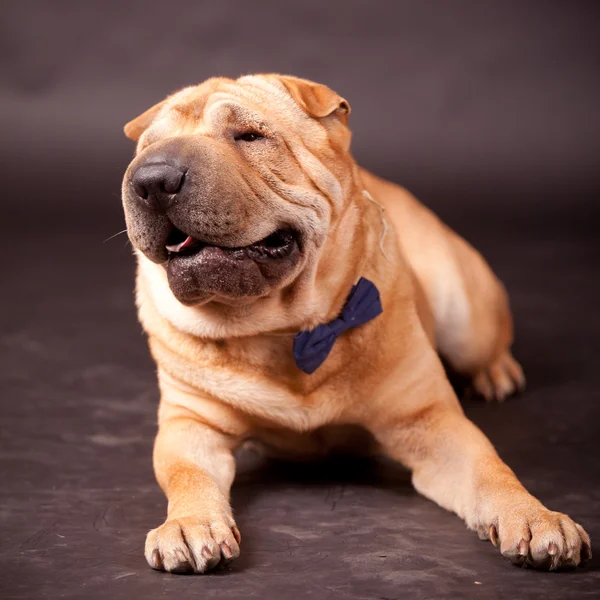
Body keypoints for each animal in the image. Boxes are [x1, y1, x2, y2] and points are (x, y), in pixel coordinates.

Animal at [120, 74, 592, 572]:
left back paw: (496, 373)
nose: (152, 179)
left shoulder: (430, 424)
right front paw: (188, 525)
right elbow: (186, 474)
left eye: (250, 136)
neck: (281, 328)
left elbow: (492, 470)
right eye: (147, 148)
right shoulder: (190, 424)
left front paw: (535, 517)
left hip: (466, 315)